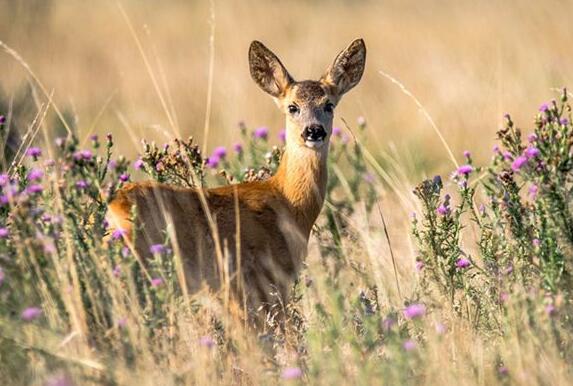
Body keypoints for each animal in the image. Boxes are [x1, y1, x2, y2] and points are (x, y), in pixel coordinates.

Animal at [107, 39, 366, 322]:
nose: (314, 131)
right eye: (292, 107)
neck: (287, 203)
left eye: (329, 105)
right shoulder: (257, 282)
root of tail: (113, 210)